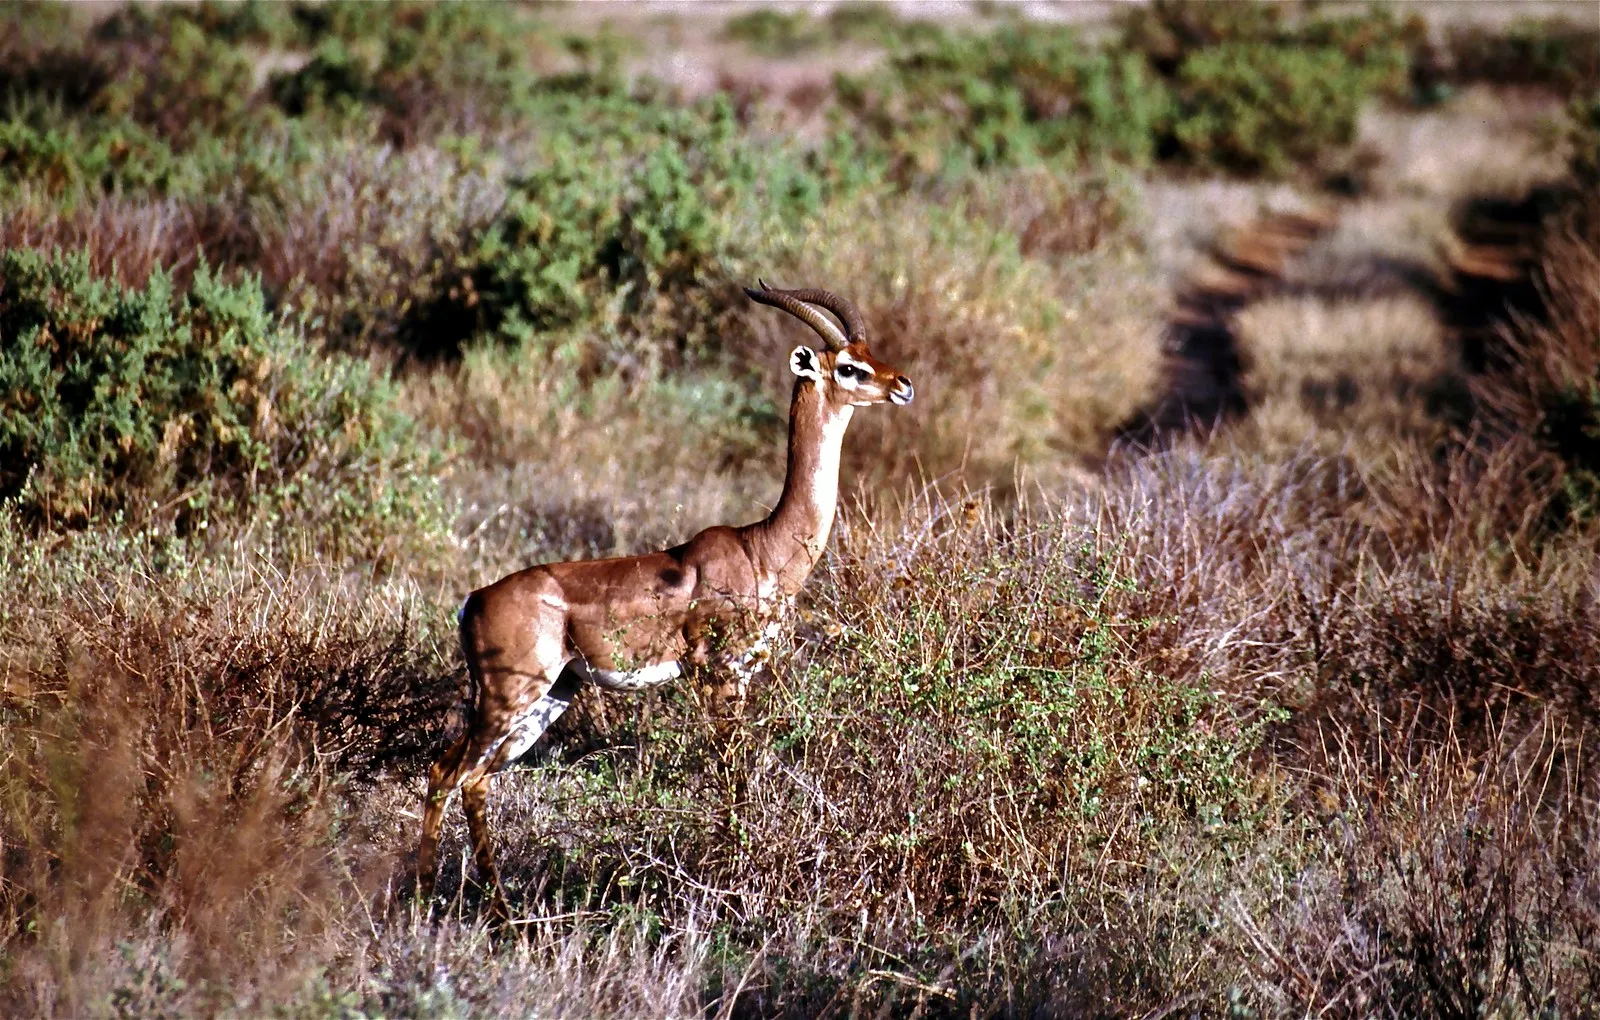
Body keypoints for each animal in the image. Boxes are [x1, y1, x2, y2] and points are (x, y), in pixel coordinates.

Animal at [416, 284, 915, 917]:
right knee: (447, 773)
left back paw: (488, 910)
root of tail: (473, 599)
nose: (903, 384)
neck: (761, 548)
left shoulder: (742, 674)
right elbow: (731, 773)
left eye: (870, 353)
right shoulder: (713, 672)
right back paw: (431, 901)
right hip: (507, 698)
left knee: (469, 779)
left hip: (549, 699)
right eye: (850, 366)